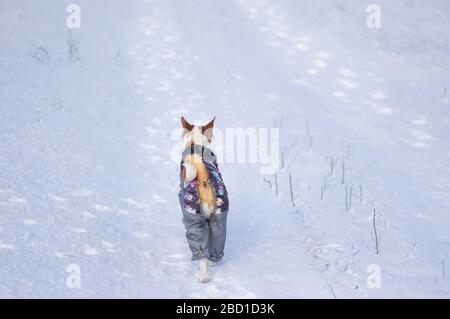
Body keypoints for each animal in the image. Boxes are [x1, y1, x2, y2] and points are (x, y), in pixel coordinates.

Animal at [178, 117, 229, 284]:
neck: (195, 143)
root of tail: (203, 178)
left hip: (193, 218)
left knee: (199, 251)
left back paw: (204, 276)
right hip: (219, 216)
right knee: (217, 242)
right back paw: (213, 263)